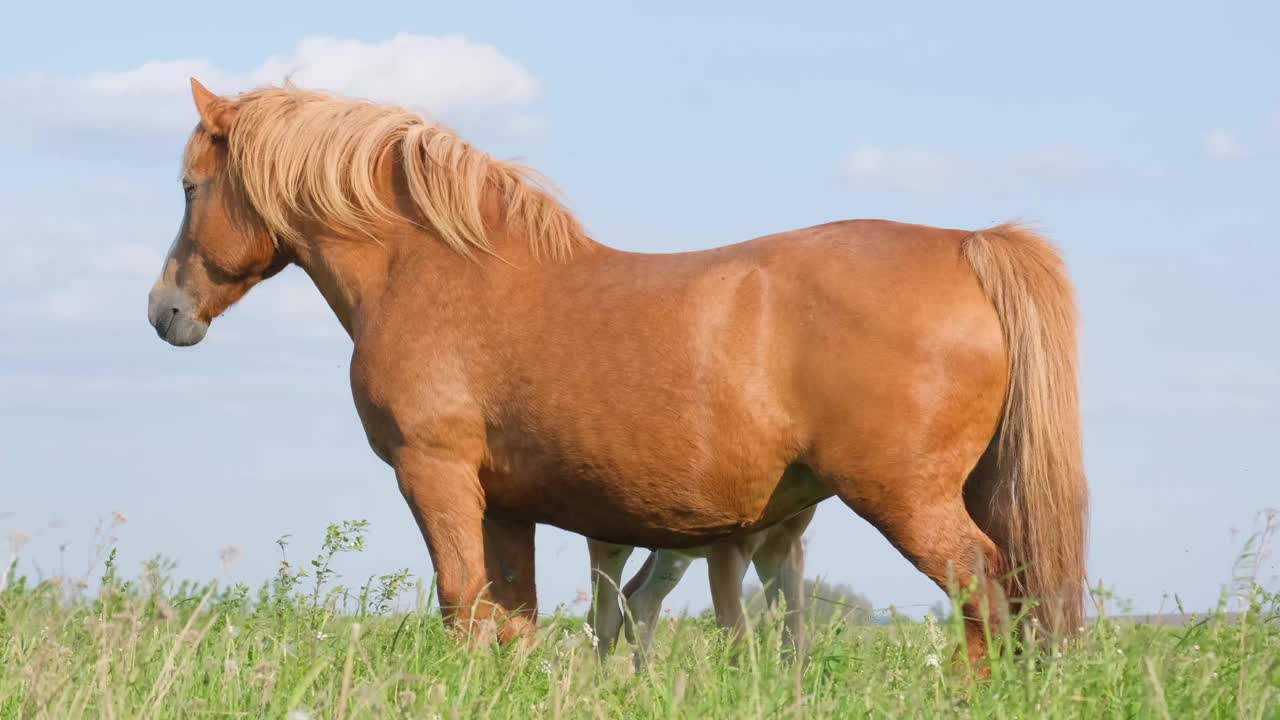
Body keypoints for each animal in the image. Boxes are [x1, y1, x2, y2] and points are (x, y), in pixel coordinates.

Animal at [586, 502, 814, 666]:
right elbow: (734, 632)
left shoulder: (785, 542)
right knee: (605, 618)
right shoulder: (727, 547)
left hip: (672, 550)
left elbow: (793, 634)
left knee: (639, 602)